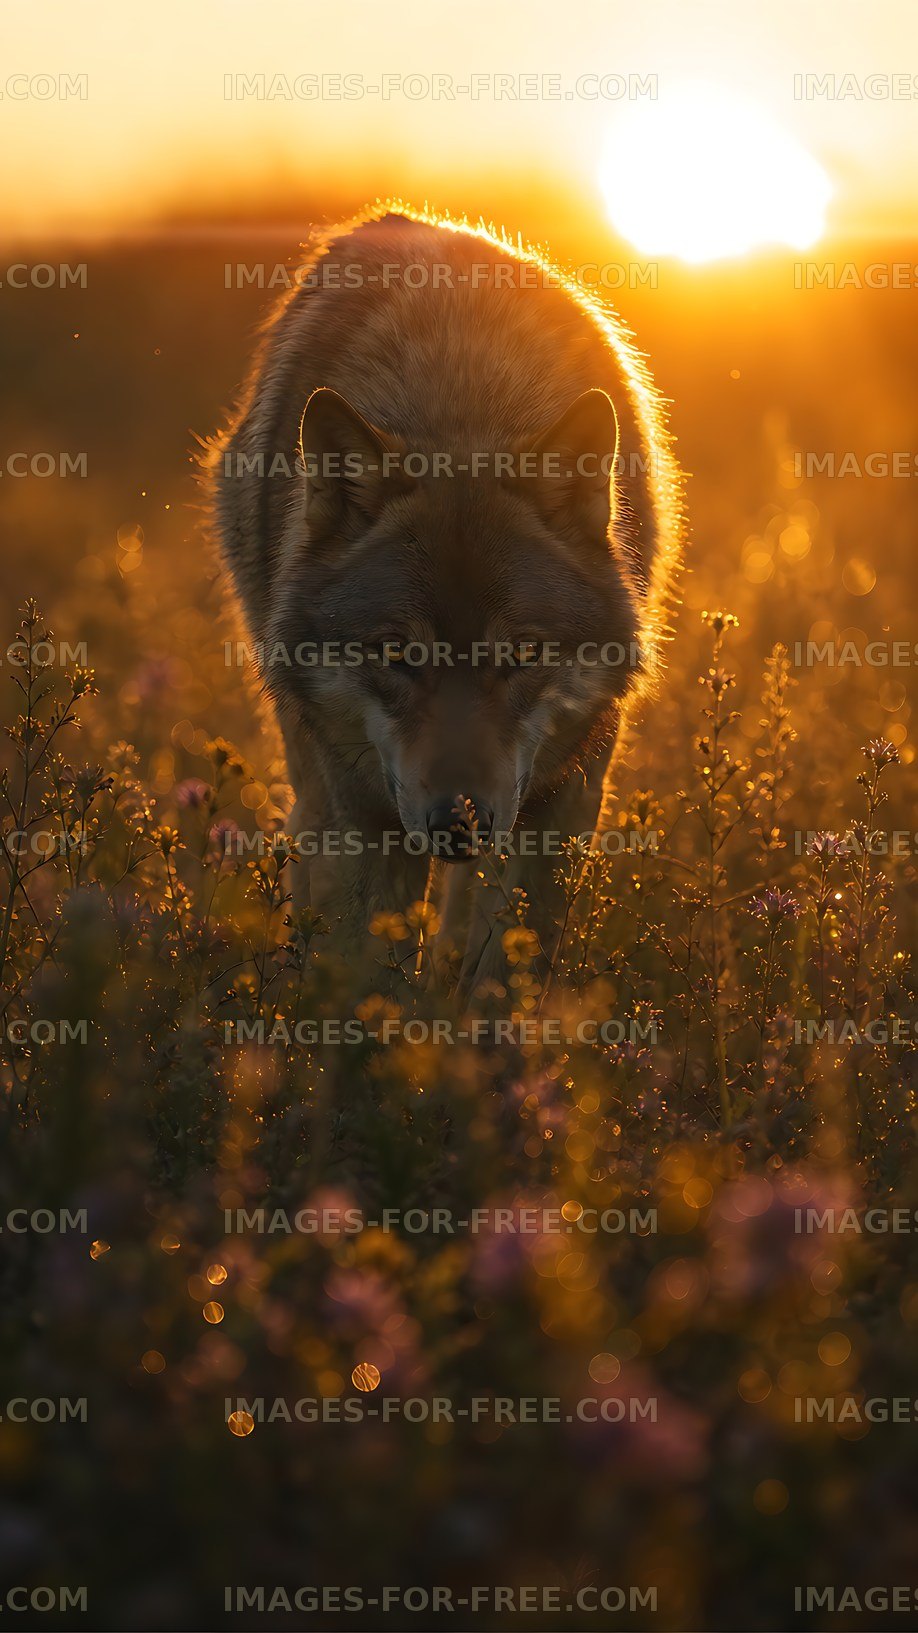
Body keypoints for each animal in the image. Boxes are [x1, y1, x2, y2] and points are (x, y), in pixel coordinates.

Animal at [209, 205, 682, 986]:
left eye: (522, 655)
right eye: (398, 654)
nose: (457, 824)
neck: (464, 404)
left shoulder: (560, 804)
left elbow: (500, 984)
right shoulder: (364, 819)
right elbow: (368, 987)